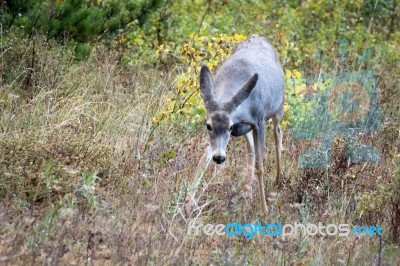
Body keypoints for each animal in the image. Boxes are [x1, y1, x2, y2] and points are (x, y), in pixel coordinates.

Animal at [197, 35, 284, 214]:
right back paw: (248, 193)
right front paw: (187, 203)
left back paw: (279, 181)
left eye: (229, 127)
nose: (219, 158)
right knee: (251, 151)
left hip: (278, 108)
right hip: (247, 129)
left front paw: (264, 209)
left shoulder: (259, 121)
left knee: (278, 134)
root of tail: (258, 36)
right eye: (208, 125)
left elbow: (260, 166)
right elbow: (202, 161)